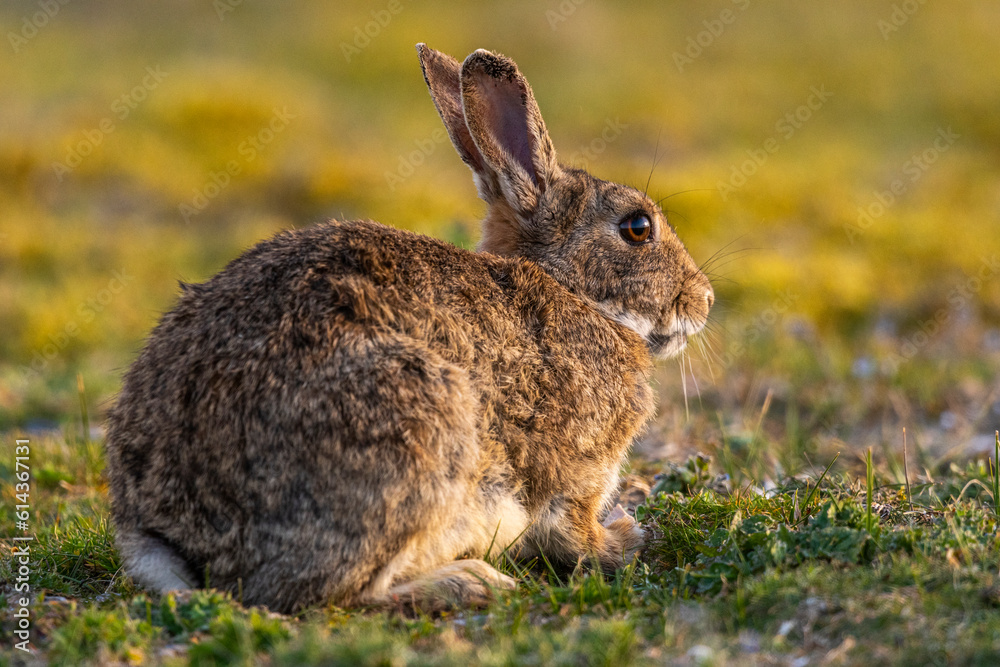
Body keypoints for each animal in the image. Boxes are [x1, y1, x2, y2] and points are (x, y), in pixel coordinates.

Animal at [104, 44, 714, 615]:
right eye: (638, 227)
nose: (705, 300)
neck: (569, 287)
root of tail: (161, 530)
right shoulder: (574, 475)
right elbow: (573, 534)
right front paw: (624, 538)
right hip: (414, 437)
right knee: (327, 594)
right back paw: (472, 582)